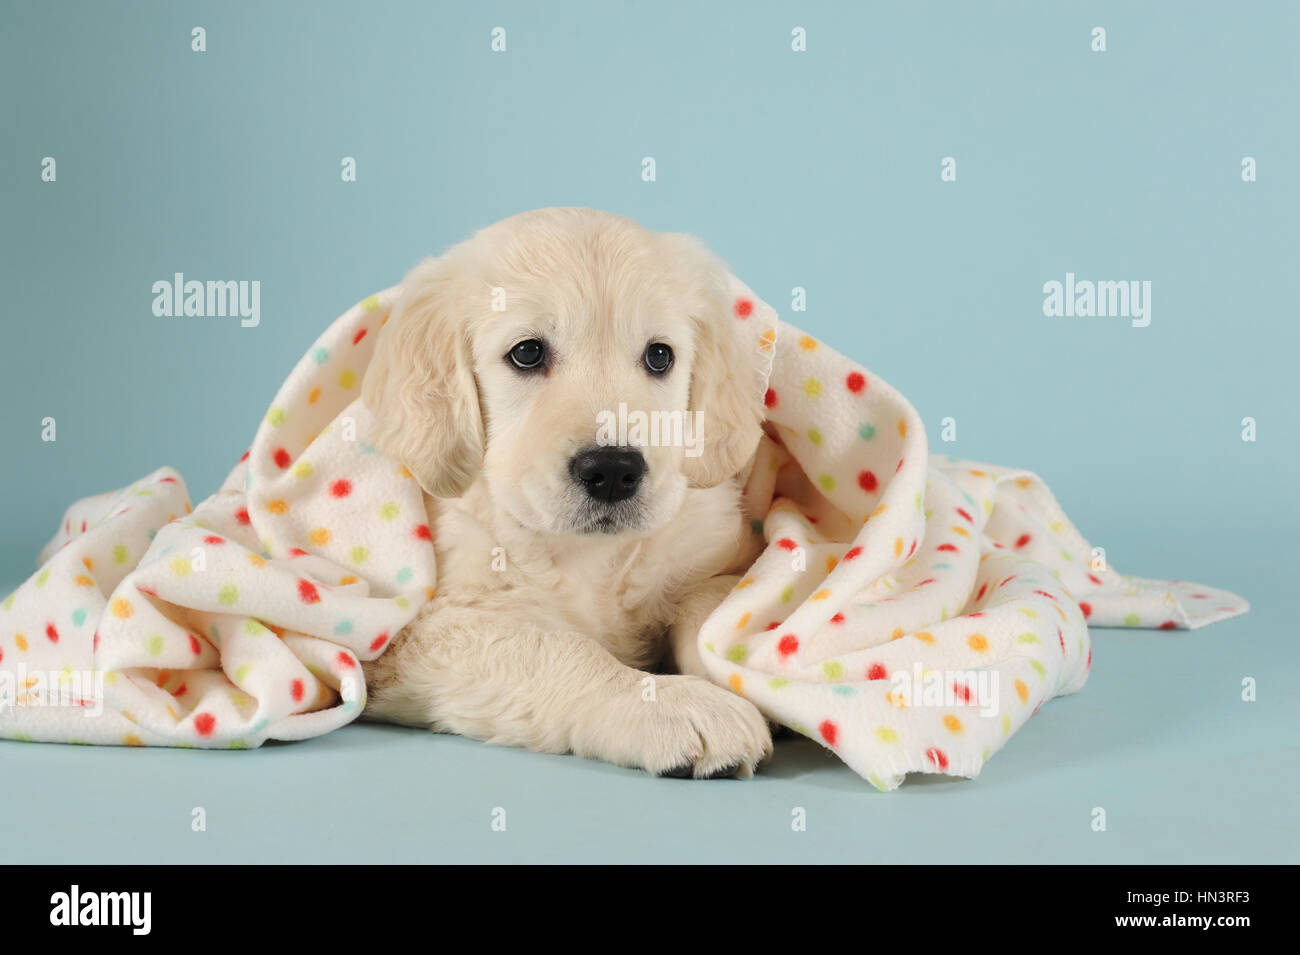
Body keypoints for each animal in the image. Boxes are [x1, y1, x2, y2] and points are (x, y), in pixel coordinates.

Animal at [358, 207, 769, 779]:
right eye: (528, 353)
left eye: (659, 357)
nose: (614, 471)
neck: (589, 556)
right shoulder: (419, 632)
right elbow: (554, 647)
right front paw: (675, 702)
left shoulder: (709, 552)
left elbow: (710, 604)